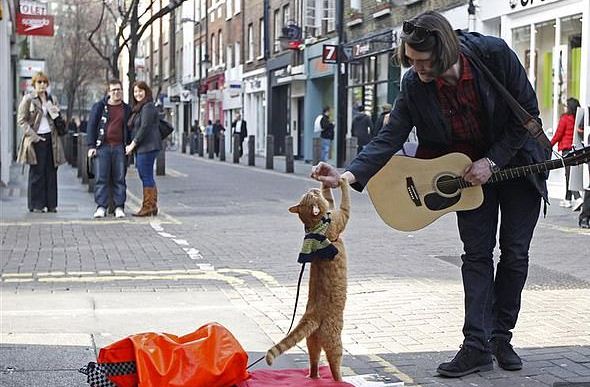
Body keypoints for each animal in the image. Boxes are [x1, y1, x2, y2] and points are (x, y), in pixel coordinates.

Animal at [264, 178, 352, 382]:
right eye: (312, 195)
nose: (312, 188)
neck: (316, 226)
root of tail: (312, 314)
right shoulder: (341, 216)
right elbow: (345, 200)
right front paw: (343, 180)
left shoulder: (332, 209)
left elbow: (330, 197)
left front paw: (326, 179)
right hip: (335, 342)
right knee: (334, 365)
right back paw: (339, 380)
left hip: (312, 342)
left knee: (313, 362)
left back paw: (313, 377)